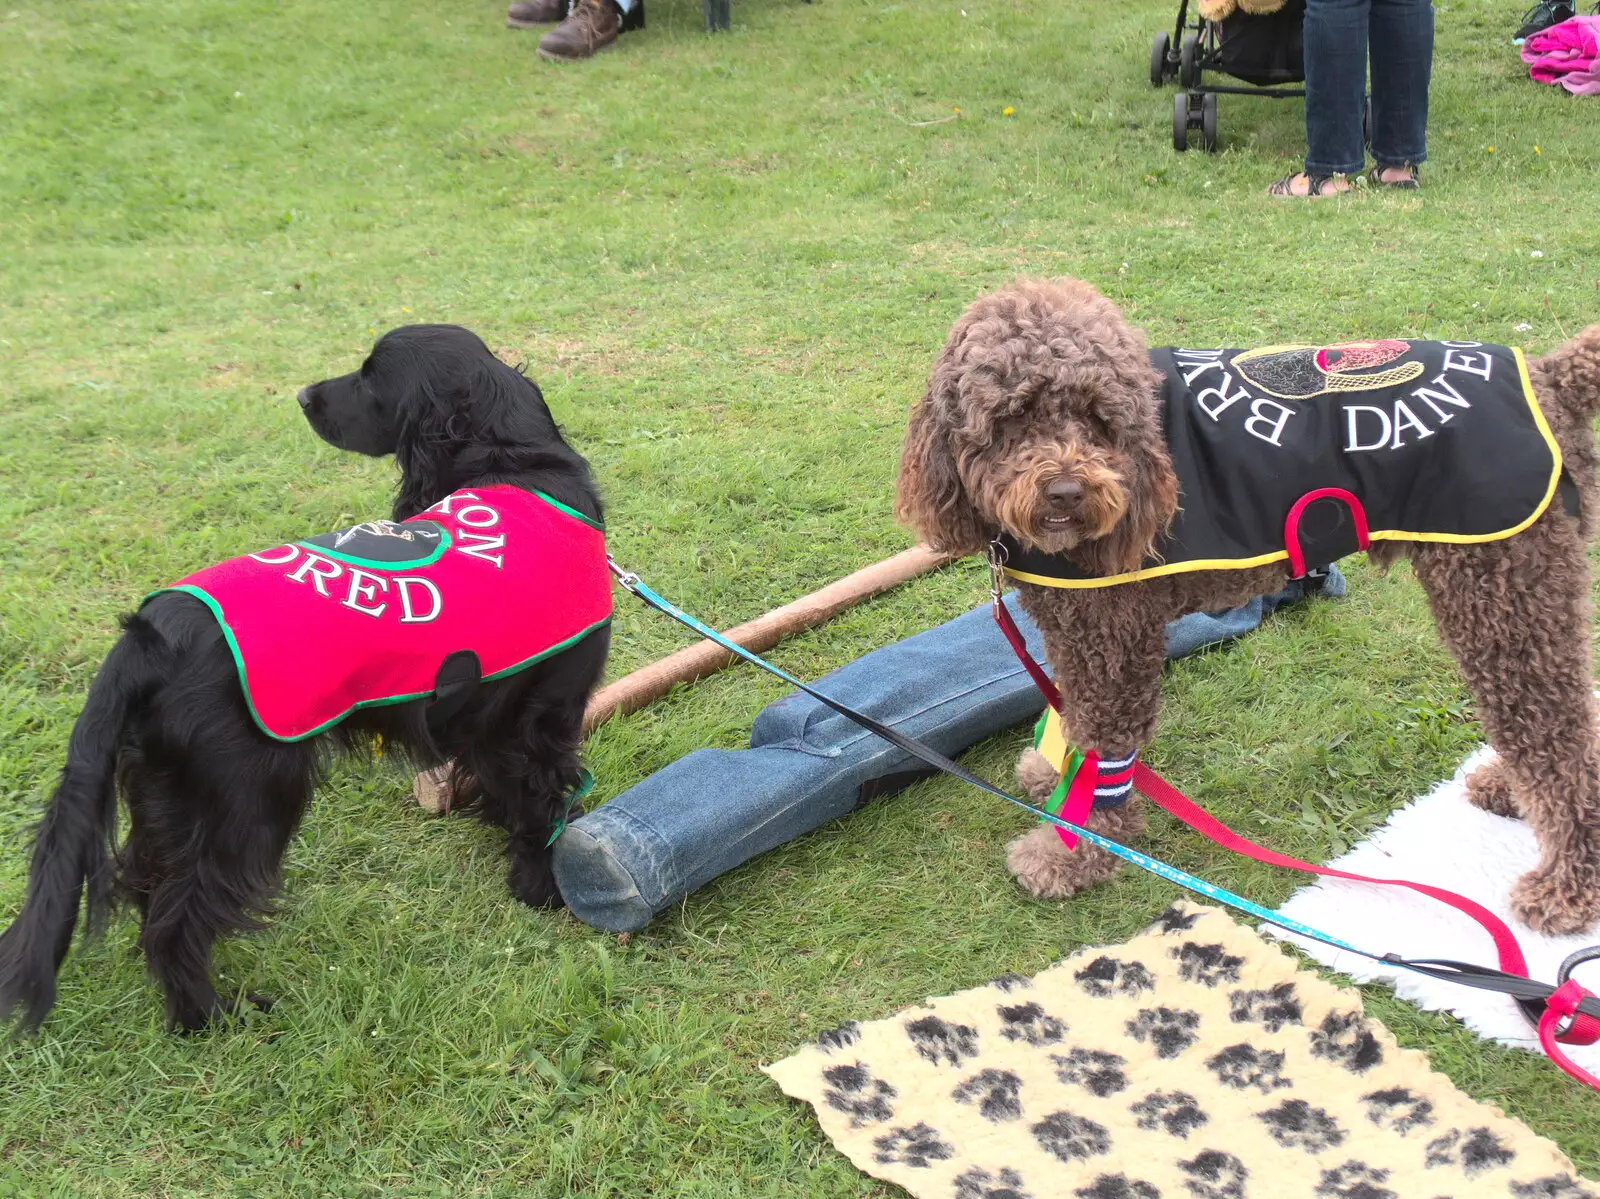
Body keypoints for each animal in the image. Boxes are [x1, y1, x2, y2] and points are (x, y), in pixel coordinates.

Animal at [896, 280, 1600, 934]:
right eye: (1014, 416)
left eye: (1099, 418)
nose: (1069, 493)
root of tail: (1547, 373)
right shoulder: (1076, 628)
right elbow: (1073, 721)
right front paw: (1055, 774)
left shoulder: (1115, 638)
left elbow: (1108, 749)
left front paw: (1076, 850)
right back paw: (1508, 787)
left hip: (1502, 588)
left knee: (1560, 741)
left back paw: (1566, 888)